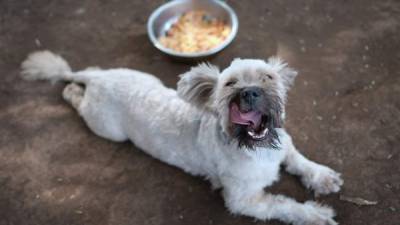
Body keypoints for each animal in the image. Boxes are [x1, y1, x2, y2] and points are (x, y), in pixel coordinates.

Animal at [21, 51, 344, 225]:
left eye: (267, 77)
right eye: (230, 83)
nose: (249, 93)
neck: (259, 150)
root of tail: (99, 80)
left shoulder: (284, 147)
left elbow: (301, 162)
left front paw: (322, 177)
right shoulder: (243, 200)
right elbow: (284, 204)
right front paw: (314, 214)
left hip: (137, 77)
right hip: (106, 128)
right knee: (72, 93)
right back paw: (71, 91)